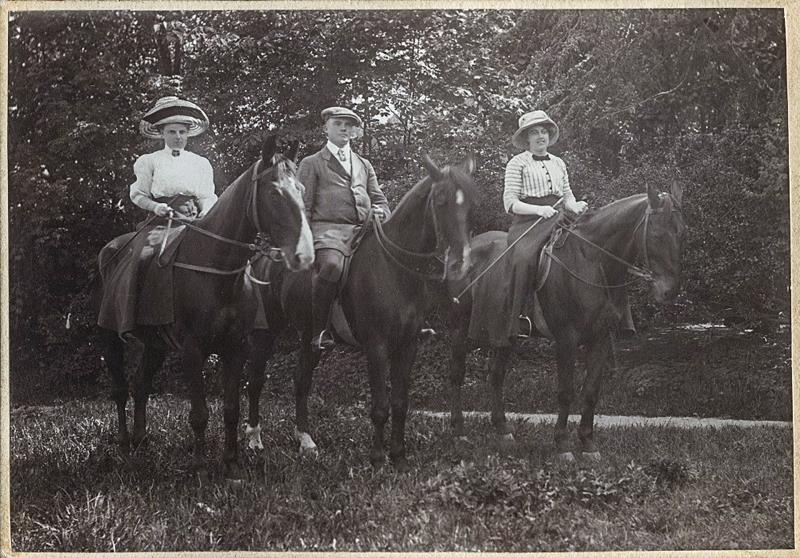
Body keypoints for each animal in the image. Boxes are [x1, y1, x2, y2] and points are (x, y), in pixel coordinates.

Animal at [97, 136, 312, 482]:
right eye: (273, 192)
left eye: (301, 189)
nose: (303, 254)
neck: (216, 268)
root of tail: (111, 250)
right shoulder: (193, 349)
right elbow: (198, 413)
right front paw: (199, 467)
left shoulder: (235, 348)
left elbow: (231, 410)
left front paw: (232, 465)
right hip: (110, 336)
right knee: (119, 389)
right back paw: (125, 445)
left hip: (155, 344)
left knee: (141, 384)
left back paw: (142, 440)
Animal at [244, 154, 478, 472]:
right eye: (440, 200)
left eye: (471, 204)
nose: (460, 264)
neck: (393, 268)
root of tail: (263, 255)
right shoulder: (376, 347)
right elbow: (380, 406)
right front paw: (378, 459)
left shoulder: (408, 345)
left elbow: (400, 403)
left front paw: (399, 456)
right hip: (265, 334)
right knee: (255, 379)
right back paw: (254, 439)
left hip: (308, 337)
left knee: (301, 378)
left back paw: (305, 440)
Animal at [446, 184, 684, 464]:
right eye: (657, 235)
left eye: (682, 232)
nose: (669, 292)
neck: (591, 260)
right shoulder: (566, 340)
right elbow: (566, 392)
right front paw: (562, 444)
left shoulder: (600, 338)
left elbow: (591, 391)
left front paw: (588, 444)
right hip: (461, 327)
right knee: (457, 373)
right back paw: (459, 433)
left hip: (504, 331)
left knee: (496, 374)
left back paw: (503, 430)